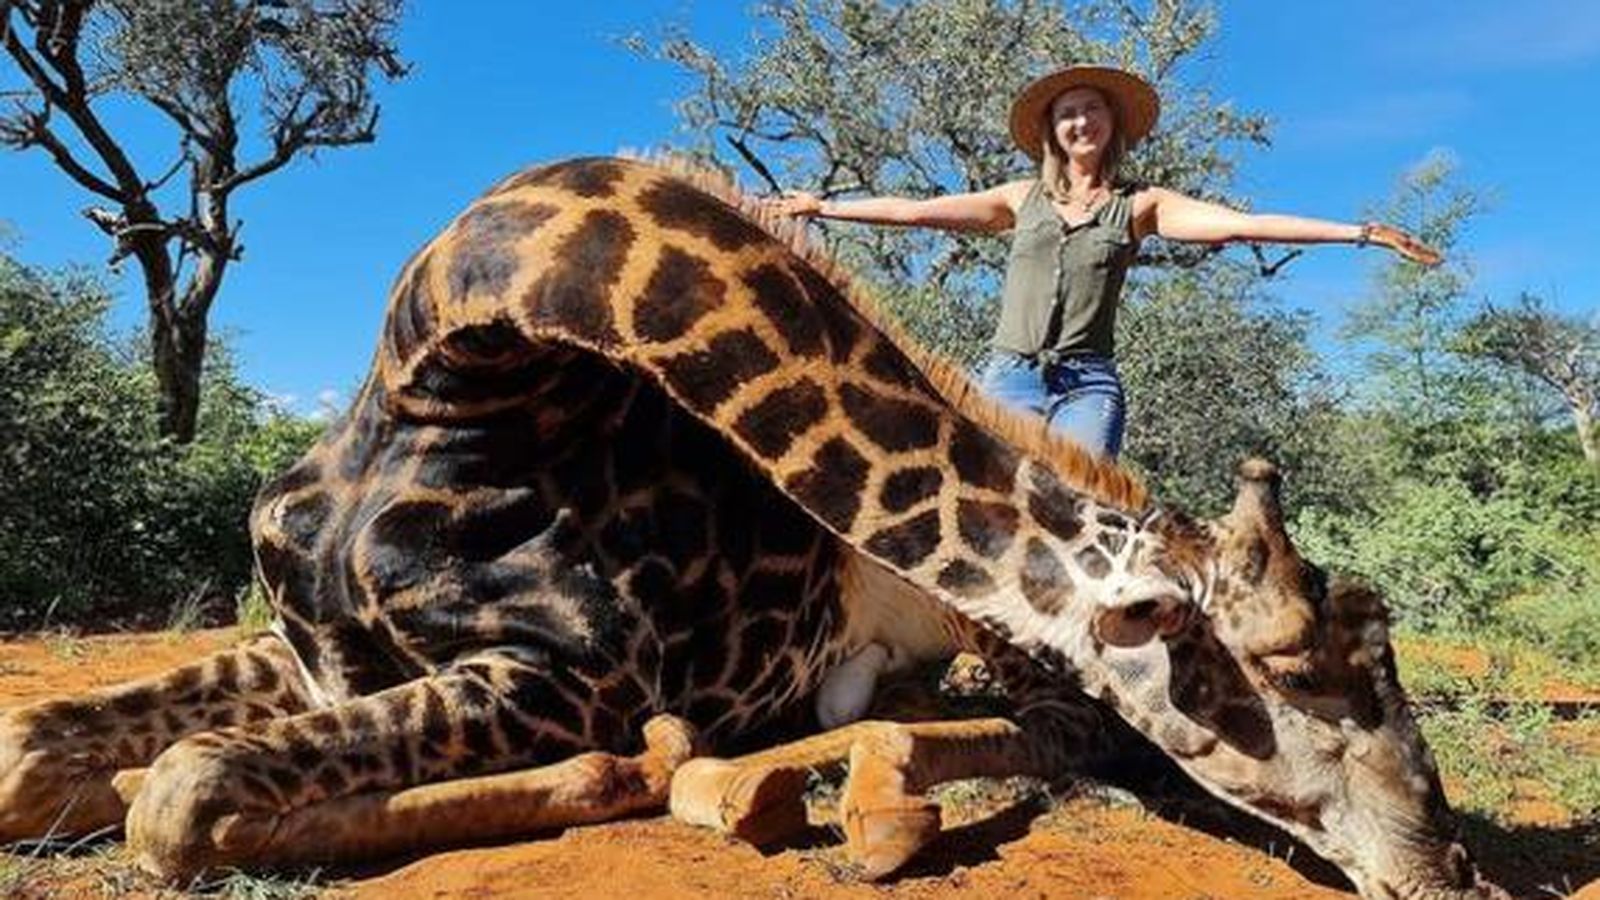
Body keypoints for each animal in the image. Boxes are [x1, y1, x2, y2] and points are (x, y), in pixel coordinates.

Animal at [0, 157, 1502, 898]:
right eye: (1298, 674)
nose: (1446, 870)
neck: (446, 375)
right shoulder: (304, 645)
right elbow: (43, 748)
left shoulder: (567, 675)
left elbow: (179, 798)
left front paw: (630, 774)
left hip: (992, 649)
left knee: (1049, 731)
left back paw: (825, 795)